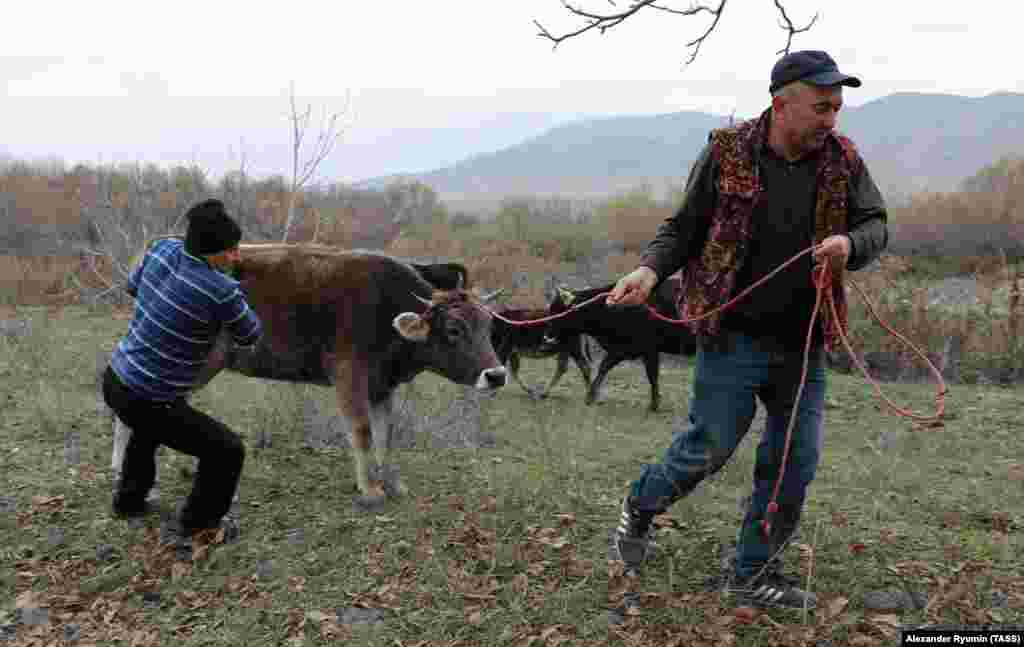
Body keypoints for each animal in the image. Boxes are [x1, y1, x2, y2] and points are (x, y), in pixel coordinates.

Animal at [111, 242, 507, 509]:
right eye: (454, 329)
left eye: (488, 325)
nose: (496, 375)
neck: (387, 311)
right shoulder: (348, 375)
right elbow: (361, 432)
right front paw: (369, 490)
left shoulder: (382, 385)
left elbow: (385, 435)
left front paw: (392, 483)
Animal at [544, 276, 696, 409]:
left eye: (557, 311)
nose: (546, 337)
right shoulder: (622, 349)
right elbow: (604, 367)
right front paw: (590, 396)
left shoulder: (649, 349)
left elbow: (652, 375)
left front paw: (654, 405)